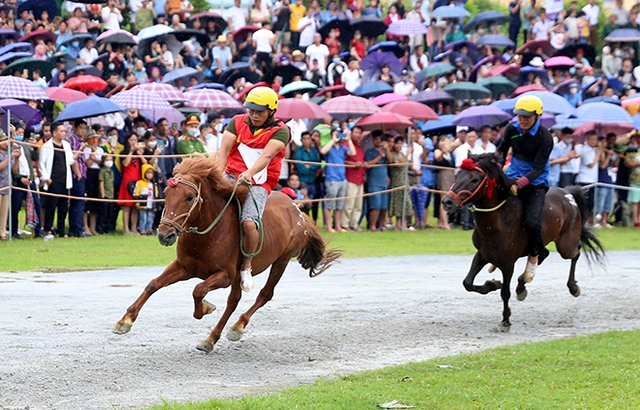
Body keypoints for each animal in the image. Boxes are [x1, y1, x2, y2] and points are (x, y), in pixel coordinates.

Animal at [111, 157, 340, 352]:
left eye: (189, 197)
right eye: (166, 193)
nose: (164, 234)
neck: (207, 234)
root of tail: (297, 210)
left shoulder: (226, 275)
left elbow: (198, 290)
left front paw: (204, 308)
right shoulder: (184, 267)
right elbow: (154, 284)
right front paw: (125, 320)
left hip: (280, 261)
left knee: (262, 295)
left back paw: (231, 329)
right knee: (234, 300)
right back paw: (214, 336)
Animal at [442, 153, 604, 330]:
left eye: (475, 180)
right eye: (457, 176)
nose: (447, 202)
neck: (499, 220)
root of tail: (568, 193)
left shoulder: (508, 263)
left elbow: (505, 292)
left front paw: (505, 320)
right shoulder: (483, 254)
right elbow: (468, 283)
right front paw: (493, 284)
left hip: (565, 245)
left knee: (576, 253)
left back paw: (573, 287)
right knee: (543, 254)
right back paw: (523, 283)